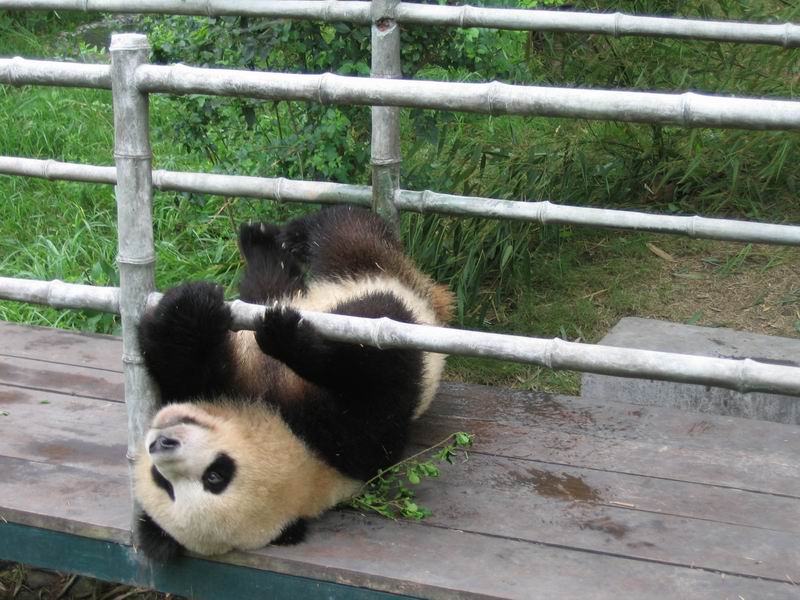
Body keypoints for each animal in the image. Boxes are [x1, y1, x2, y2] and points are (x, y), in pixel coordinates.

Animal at [133, 205, 453, 561]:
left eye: (215, 476)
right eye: (165, 483)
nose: (160, 443)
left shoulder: (328, 433)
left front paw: (200, 308)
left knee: (338, 240)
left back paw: (277, 236)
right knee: (326, 255)